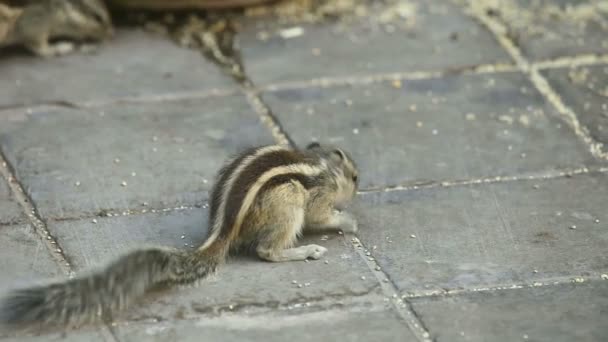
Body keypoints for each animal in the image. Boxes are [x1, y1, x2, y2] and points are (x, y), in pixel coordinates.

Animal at [0, 141, 358, 328]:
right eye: (354, 177)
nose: (359, 185)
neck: (322, 165)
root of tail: (223, 229)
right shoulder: (317, 196)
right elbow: (321, 216)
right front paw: (347, 220)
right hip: (286, 201)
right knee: (267, 251)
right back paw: (305, 251)